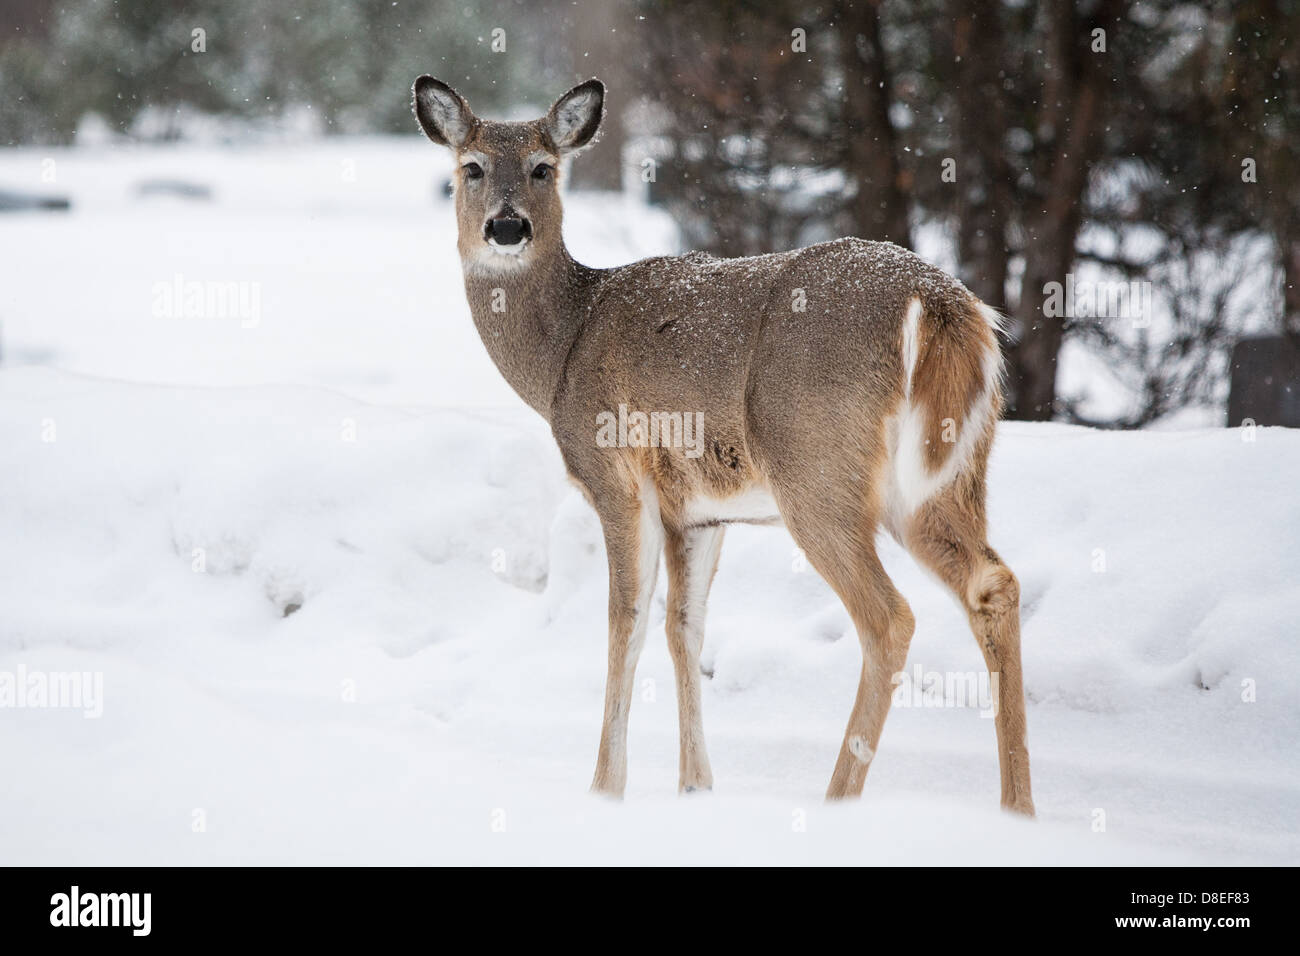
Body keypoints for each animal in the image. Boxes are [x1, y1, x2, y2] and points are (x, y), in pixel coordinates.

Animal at [412, 75, 1035, 816]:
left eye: (544, 168)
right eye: (471, 168)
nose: (507, 227)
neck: (563, 349)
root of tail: (942, 307)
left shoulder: (616, 477)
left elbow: (626, 623)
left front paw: (605, 787)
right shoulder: (698, 511)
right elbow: (684, 629)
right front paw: (695, 785)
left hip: (815, 465)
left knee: (889, 617)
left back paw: (838, 799)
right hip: (947, 475)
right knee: (994, 583)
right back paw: (1019, 808)